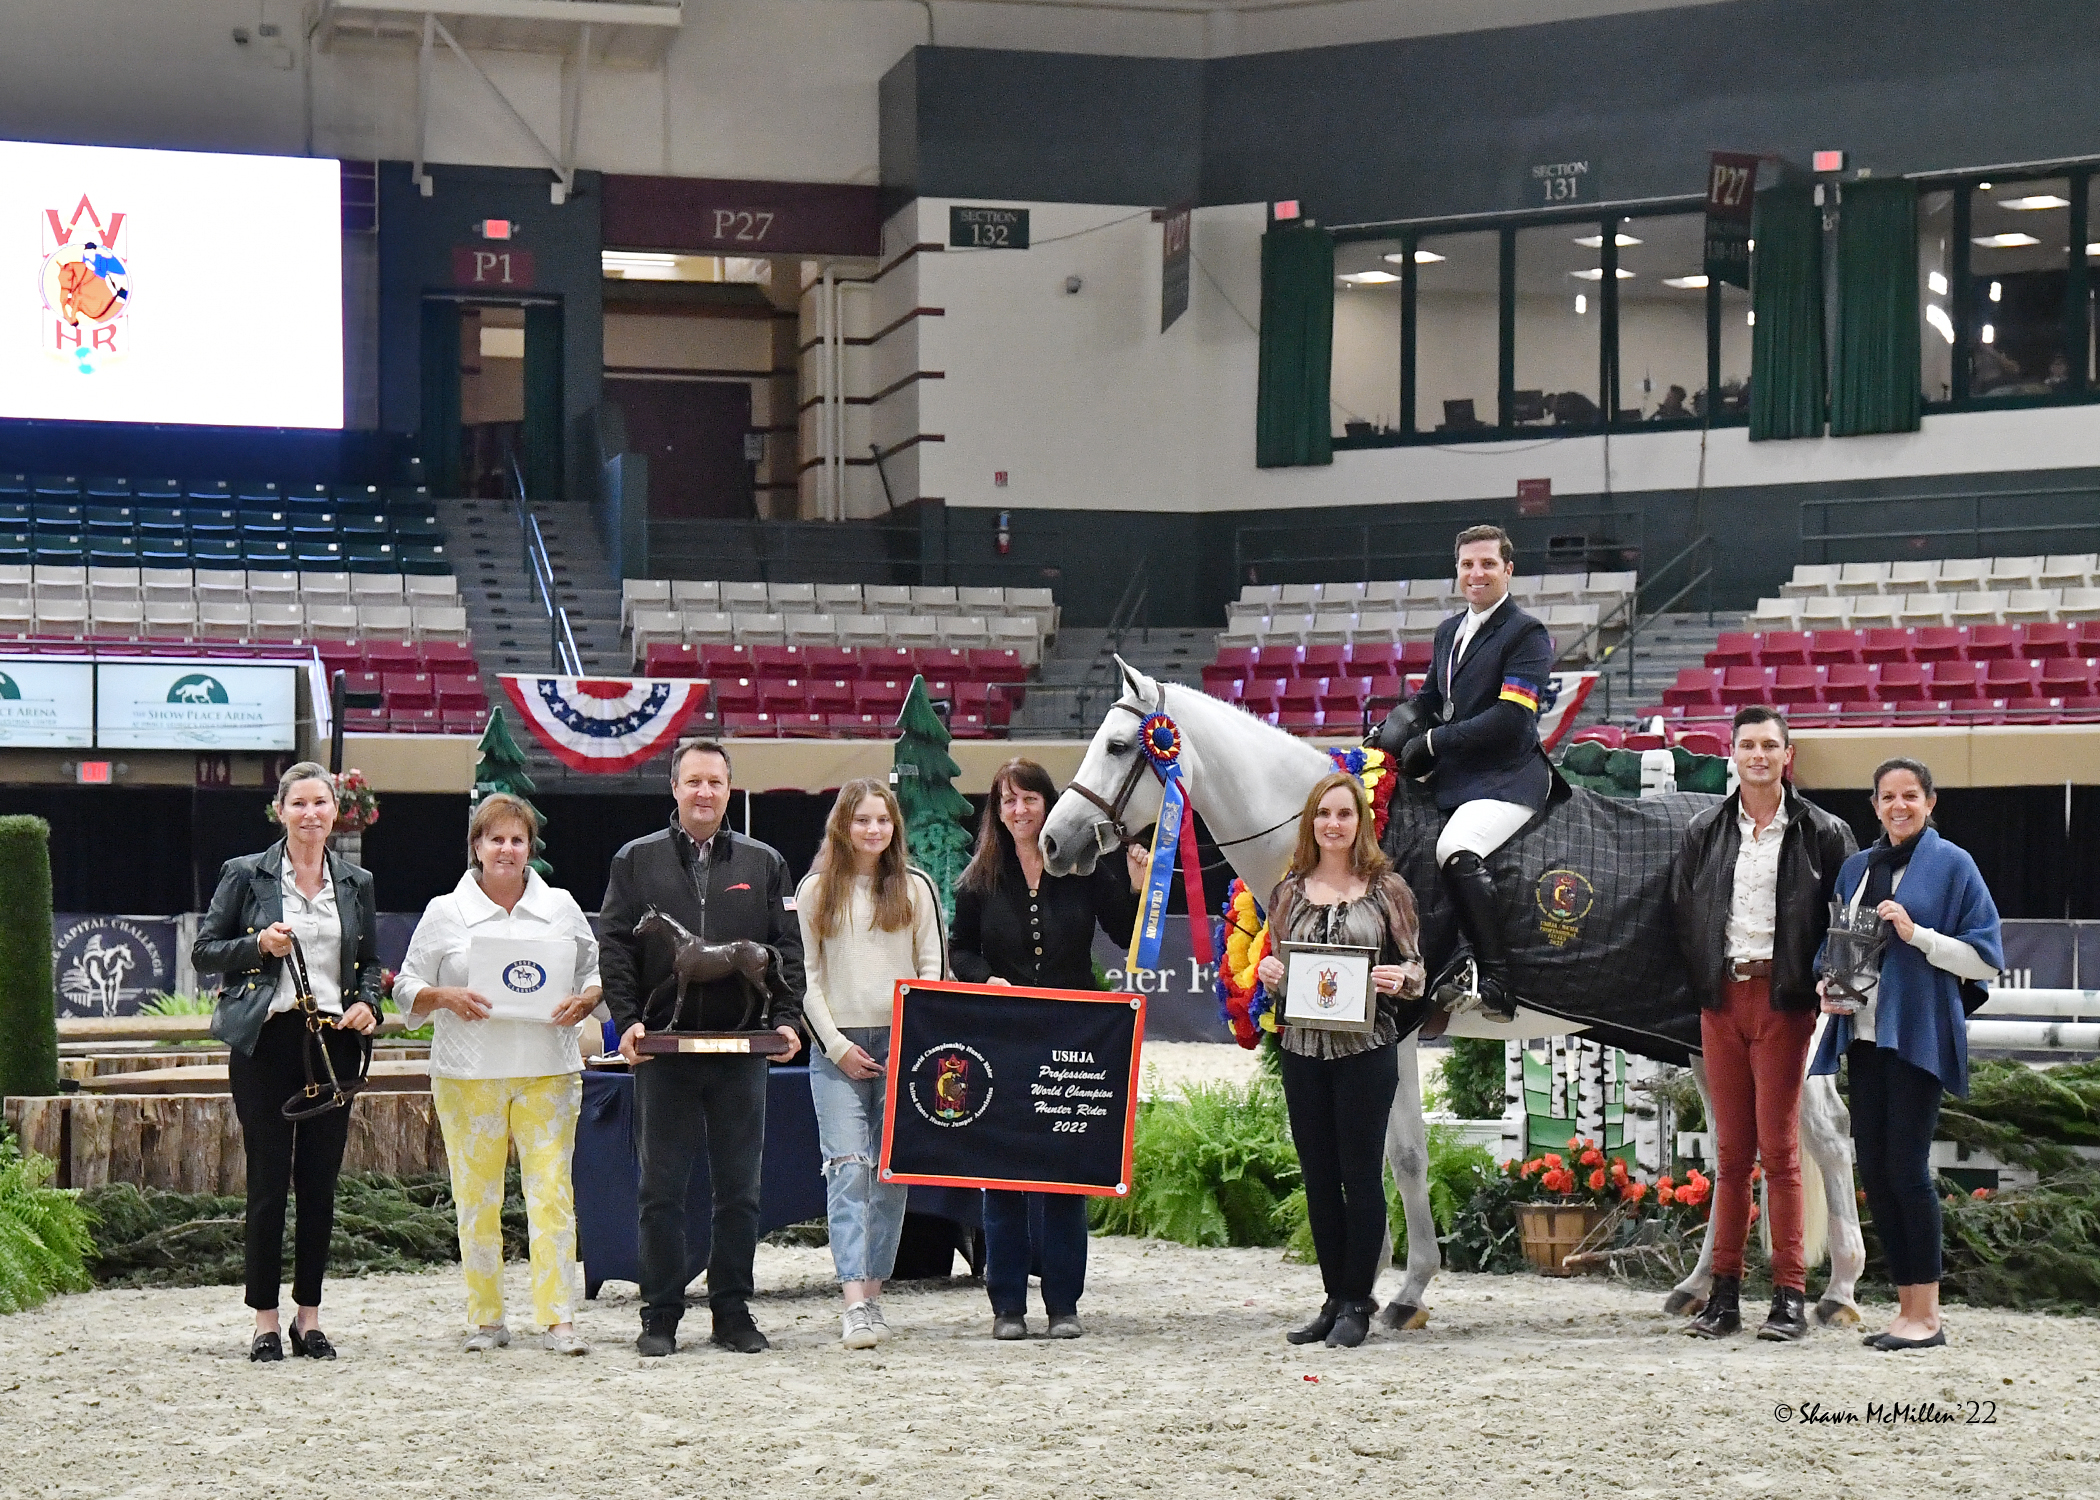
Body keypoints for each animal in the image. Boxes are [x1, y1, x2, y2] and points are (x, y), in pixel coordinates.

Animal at [1045, 659, 1873, 1327]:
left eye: (1119, 747)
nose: (1056, 843)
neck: (1342, 836)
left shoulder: (1401, 1021)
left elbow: (1406, 1155)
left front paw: (1404, 1293)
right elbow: (1375, 1151)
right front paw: (1367, 1281)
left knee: (1826, 1138)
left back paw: (1837, 1292)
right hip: (1698, 1035)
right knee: (1742, 1152)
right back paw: (1699, 1289)